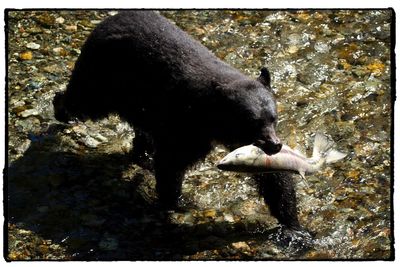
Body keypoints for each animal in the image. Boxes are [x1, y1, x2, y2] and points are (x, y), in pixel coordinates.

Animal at [54, 11, 300, 231]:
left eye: (273, 118)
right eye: (251, 121)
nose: (275, 145)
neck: (210, 117)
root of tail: (108, 20)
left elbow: (274, 178)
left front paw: (293, 225)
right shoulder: (185, 124)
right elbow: (171, 163)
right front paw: (173, 203)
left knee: (142, 133)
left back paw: (142, 157)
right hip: (103, 78)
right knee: (83, 100)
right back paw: (61, 111)